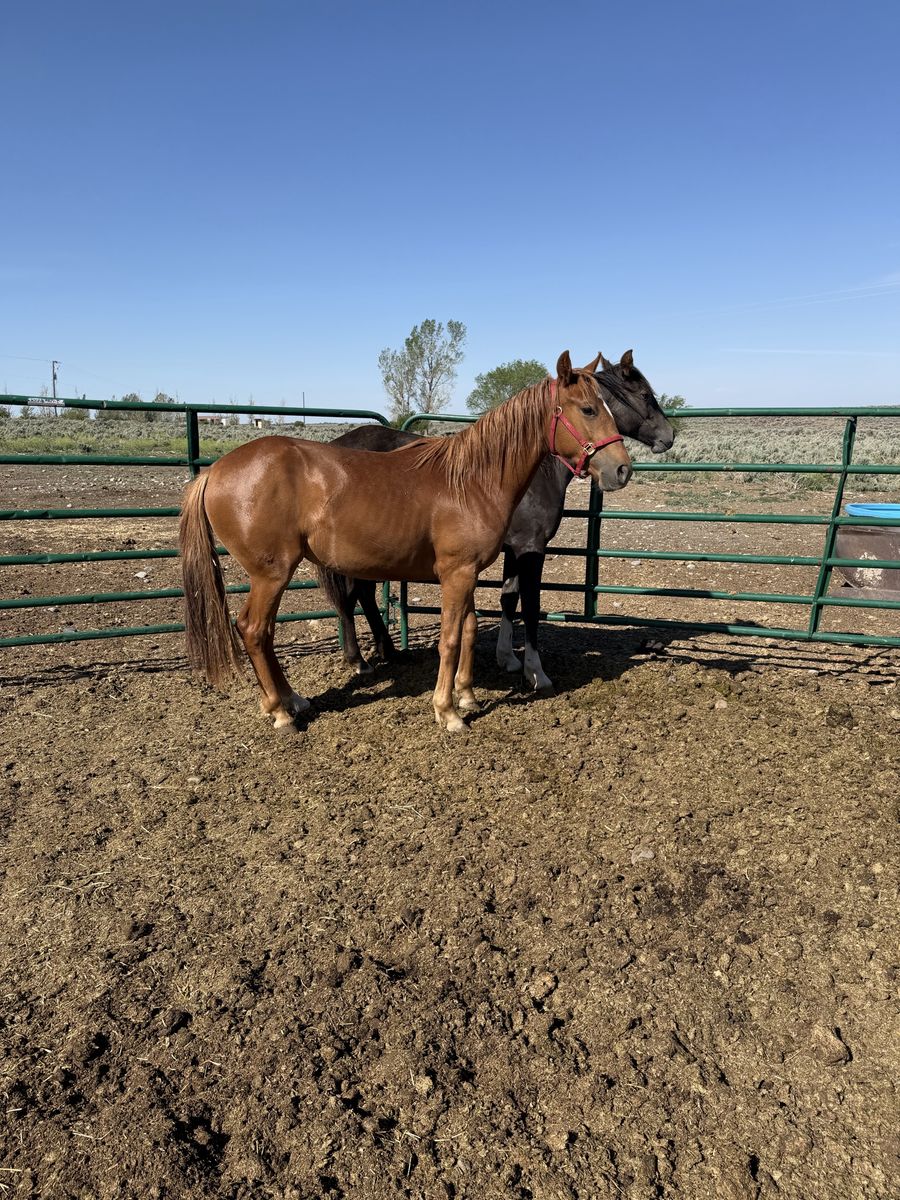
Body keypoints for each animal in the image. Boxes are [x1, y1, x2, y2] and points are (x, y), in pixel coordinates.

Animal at [179, 352, 633, 734]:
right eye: (589, 409)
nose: (622, 470)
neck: (472, 480)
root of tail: (214, 472)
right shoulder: (457, 573)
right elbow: (450, 639)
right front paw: (447, 712)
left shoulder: (466, 573)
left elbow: (468, 628)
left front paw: (466, 696)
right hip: (271, 574)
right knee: (254, 630)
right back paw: (280, 713)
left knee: (265, 633)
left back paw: (293, 700)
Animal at [318, 351, 674, 692]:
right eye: (644, 395)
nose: (668, 436)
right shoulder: (530, 547)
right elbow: (529, 604)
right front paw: (535, 672)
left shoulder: (513, 549)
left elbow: (508, 596)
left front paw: (508, 658)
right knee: (353, 596)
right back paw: (361, 659)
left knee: (361, 593)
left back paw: (385, 650)